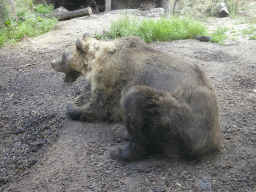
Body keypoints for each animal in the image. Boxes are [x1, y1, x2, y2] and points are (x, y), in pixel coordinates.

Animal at [50, 34, 222, 160]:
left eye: (63, 55)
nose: (52, 63)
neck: (94, 61)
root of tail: (212, 142)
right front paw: (79, 98)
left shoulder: (112, 75)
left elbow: (101, 106)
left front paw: (73, 107)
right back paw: (121, 130)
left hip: (179, 118)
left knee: (136, 101)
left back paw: (120, 151)